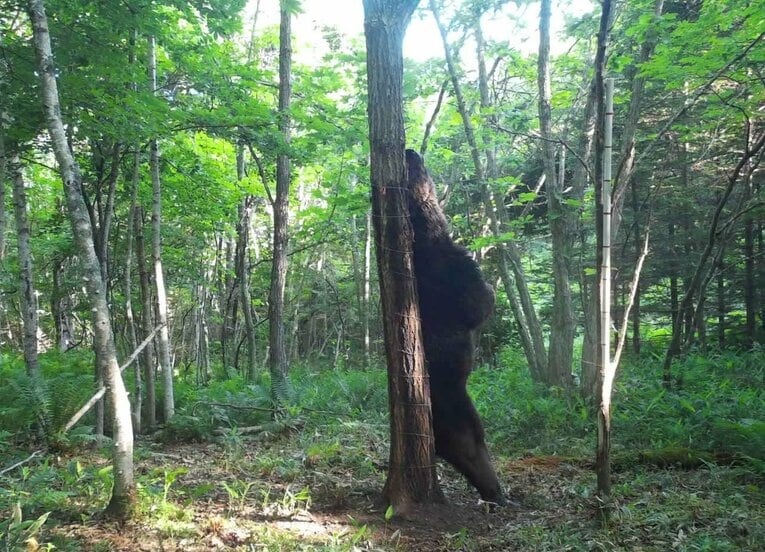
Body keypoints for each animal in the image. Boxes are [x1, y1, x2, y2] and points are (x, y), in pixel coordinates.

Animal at [405, 148, 505, 505]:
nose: (411, 150)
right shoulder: (453, 275)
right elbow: (480, 302)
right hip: (456, 410)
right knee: (472, 447)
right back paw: (496, 493)